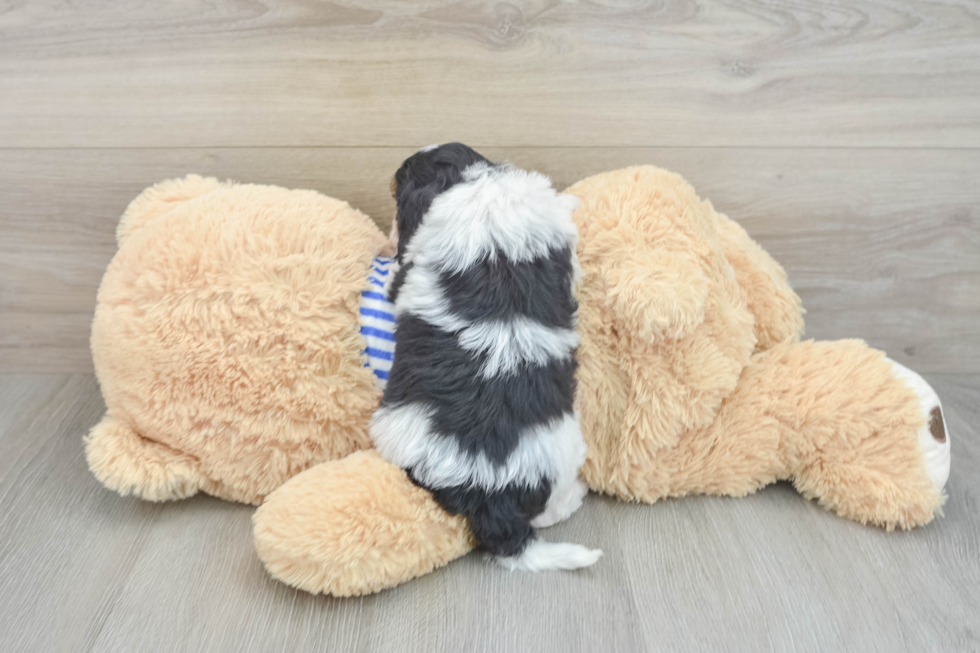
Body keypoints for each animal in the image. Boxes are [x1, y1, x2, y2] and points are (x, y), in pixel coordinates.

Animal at [368, 144, 600, 572]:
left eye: (397, 192)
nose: (385, 243)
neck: (477, 181)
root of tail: (491, 491)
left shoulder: (407, 271)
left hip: (394, 433)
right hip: (563, 449)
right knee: (548, 510)